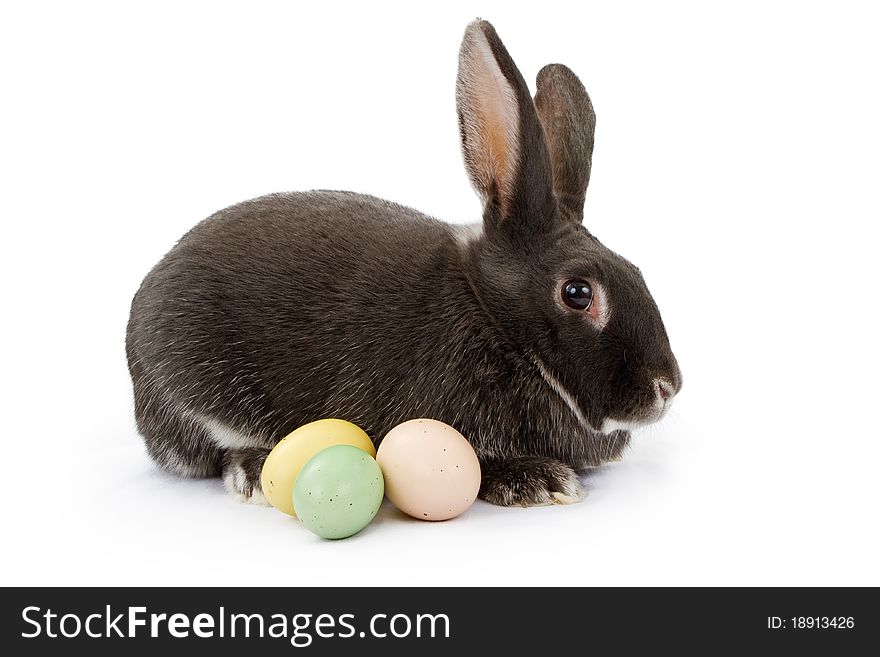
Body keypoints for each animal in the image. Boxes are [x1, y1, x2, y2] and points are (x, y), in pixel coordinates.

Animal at [127, 18, 684, 504]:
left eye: (637, 271)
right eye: (578, 292)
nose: (668, 388)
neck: (496, 321)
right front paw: (540, 482)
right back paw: (255, 468)